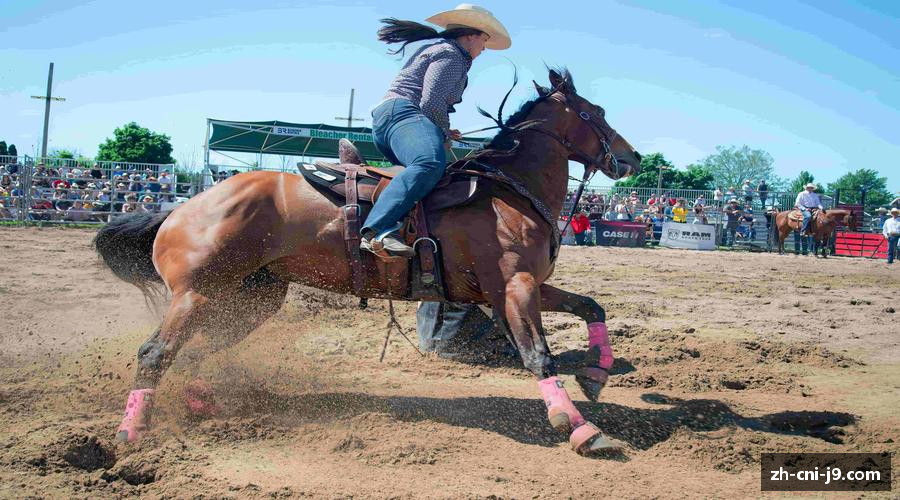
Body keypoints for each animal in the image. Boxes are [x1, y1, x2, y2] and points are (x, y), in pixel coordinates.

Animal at [91, 68, 644, 456]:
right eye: (594, 112)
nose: (633, 157)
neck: (506, 192)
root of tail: (182, 207)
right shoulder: (514, 287)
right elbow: (538, 356)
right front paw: (581, 429)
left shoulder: (517, 286)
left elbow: (591, 306)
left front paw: (596, 374)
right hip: (198, 294)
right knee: (156, 354)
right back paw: (131, 431)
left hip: (252, 299)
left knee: (199, 352)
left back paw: (200, 403)